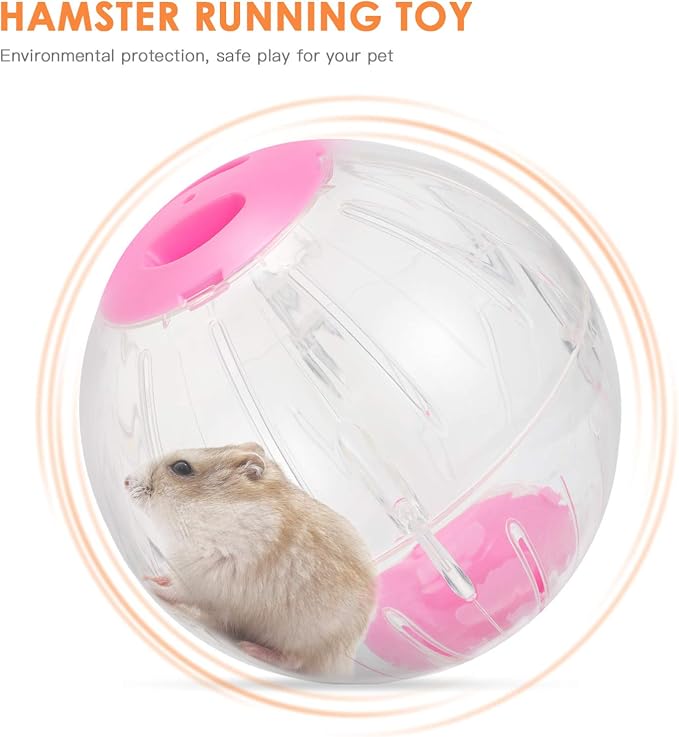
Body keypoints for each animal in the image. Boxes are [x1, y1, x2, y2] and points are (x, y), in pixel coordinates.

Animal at [124, 442, 376, 678]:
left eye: (181, 468)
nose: (126, 481)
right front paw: (156, 577)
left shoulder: (205, 576)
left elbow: (180, 592)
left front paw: (149, 582)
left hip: (304, 635)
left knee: (294, 660)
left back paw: (251, 648)